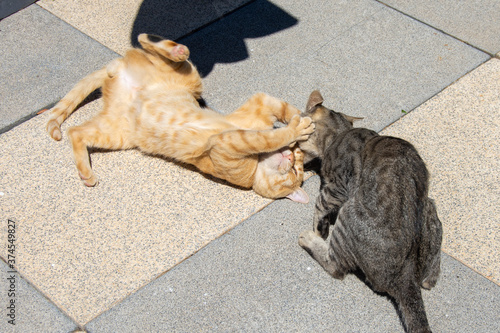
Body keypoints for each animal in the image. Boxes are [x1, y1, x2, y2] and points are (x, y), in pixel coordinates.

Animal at [46, 33, 312, 201]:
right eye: (295, 170)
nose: (292, 156)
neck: (259, 164)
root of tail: (116, 69)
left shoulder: (232, 139)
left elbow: (268, 133)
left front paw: (301, 125)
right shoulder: (246, 123)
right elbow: (278, 122)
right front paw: (303, 124)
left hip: (115, 133)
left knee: (75, 132)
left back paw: (86, 174)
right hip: (190, 77)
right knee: (148, 41)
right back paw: (173, 48)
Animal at [296, 91, 442, 332]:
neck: (339, 133)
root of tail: (407, 277)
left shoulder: (336, 189)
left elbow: (319, 207)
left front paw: (318, 230)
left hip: (349, 213)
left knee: (336, 267)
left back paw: (309, 239)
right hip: (431, 207)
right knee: (431, 274)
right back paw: (430, 278)